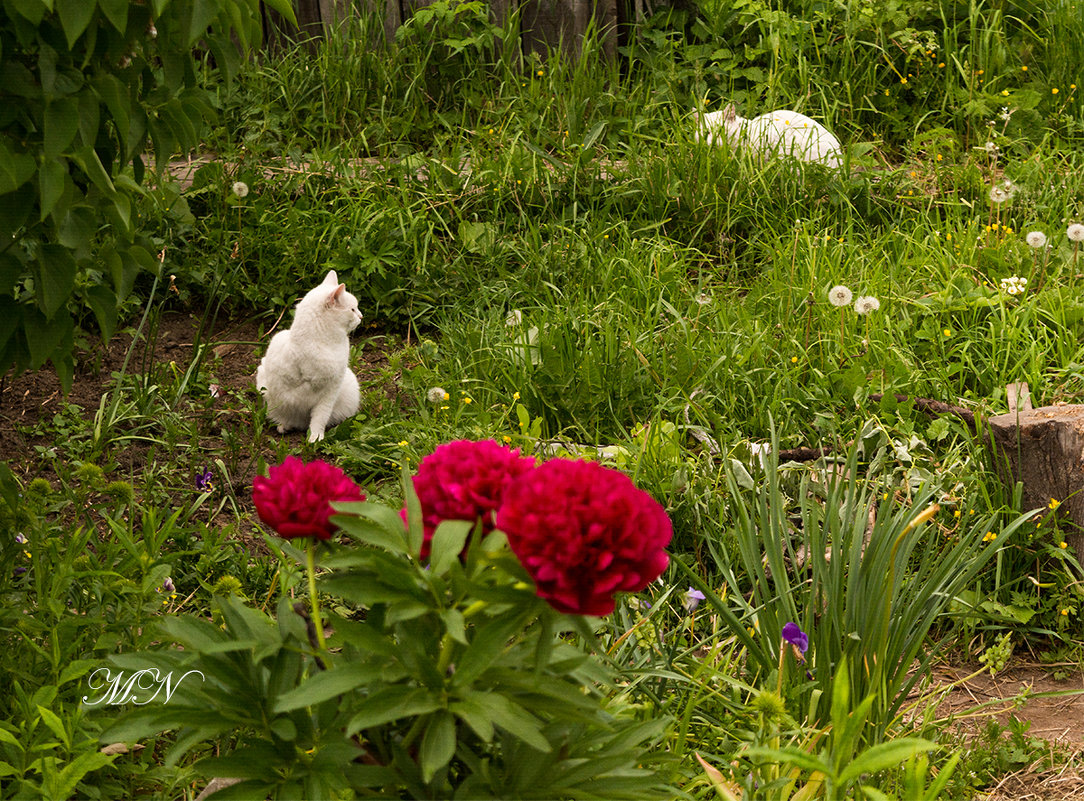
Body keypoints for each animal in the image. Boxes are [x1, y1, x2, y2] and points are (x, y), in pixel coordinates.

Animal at [255, 272, 362, 442]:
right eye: (352, 309)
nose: (361, 316)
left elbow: (318, 418)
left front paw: (314, 437)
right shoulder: (330, 389)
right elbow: (318, 417)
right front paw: (316, 439)